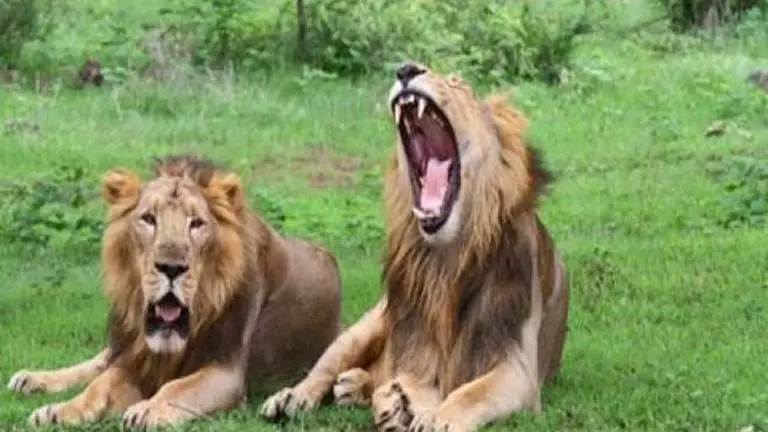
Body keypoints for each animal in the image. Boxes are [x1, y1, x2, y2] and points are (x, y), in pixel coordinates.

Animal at [7, 154, 343, 429]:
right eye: (148, 219)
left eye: (196, 223)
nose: (171, 268)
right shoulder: (136, 359)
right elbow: (101, 384)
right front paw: (59, 410)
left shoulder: (226, 371)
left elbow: (177, 387)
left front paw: (146, 409)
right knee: (101, 361)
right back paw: (31, 379)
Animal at [259, 62, 570, 432]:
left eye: (459, 84)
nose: (406, 69)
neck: (446, 261)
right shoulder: (416, 352)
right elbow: (412, 381)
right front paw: (406, 404)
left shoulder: (517, 367)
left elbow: (470, 394)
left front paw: (436, 418)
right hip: (365, 327)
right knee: (326, 369)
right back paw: (294, 396)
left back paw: (357, 388)